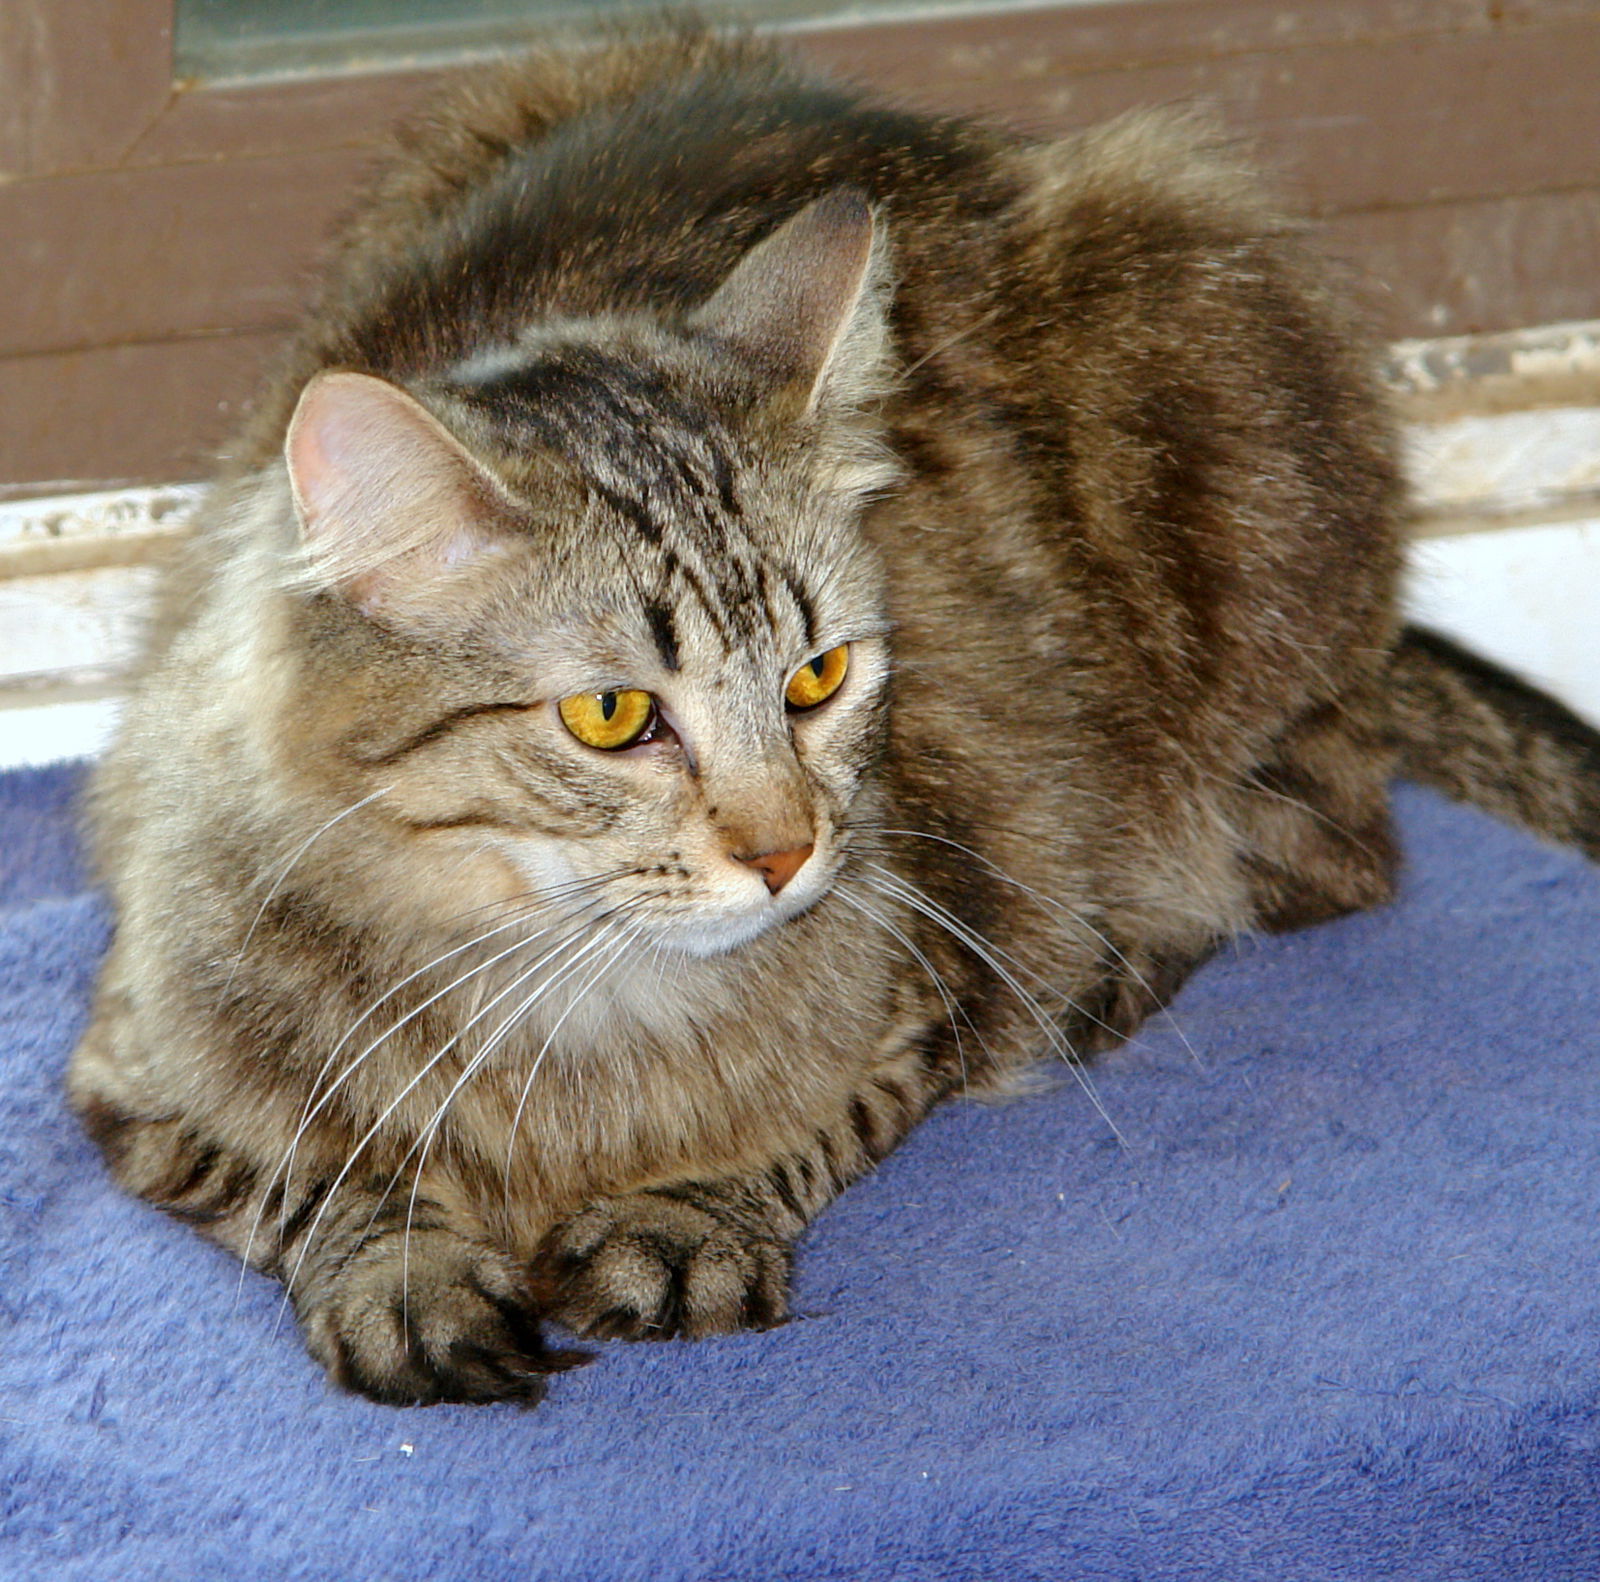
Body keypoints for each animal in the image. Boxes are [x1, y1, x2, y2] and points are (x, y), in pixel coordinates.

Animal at [68, 27, 1600, 1407]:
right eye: (613, 714)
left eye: (817, 677)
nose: (787, 852)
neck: (570, 1011)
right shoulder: (128, 1072)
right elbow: (316, 1175)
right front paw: (408, 1269)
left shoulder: (935, 976)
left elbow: (810, 1126)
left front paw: (683, 1214)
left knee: (1315, 852)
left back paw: (1110, 968)